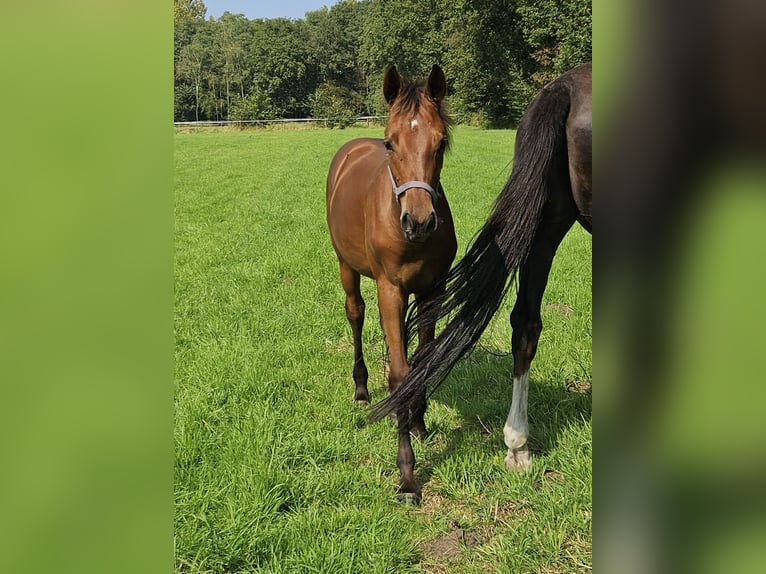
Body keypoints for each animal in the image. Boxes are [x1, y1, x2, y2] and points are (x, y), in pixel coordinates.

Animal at [328, 64, 460, 504]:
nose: (419, 221)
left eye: (442, 141)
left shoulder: (432, 288)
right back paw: (362, 390)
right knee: (355, 314)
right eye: (391, 141)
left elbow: (421, 360)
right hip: (348, 268)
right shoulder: (389, 287)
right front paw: (407, 476)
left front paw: (418, 423)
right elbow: (401, 372)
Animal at [372, 60, 592, 498]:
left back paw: (517, 446)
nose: (419, 222)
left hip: (548, 223)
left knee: (525, 323)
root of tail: (565, 87)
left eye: (442, 144)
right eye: (389, 144)